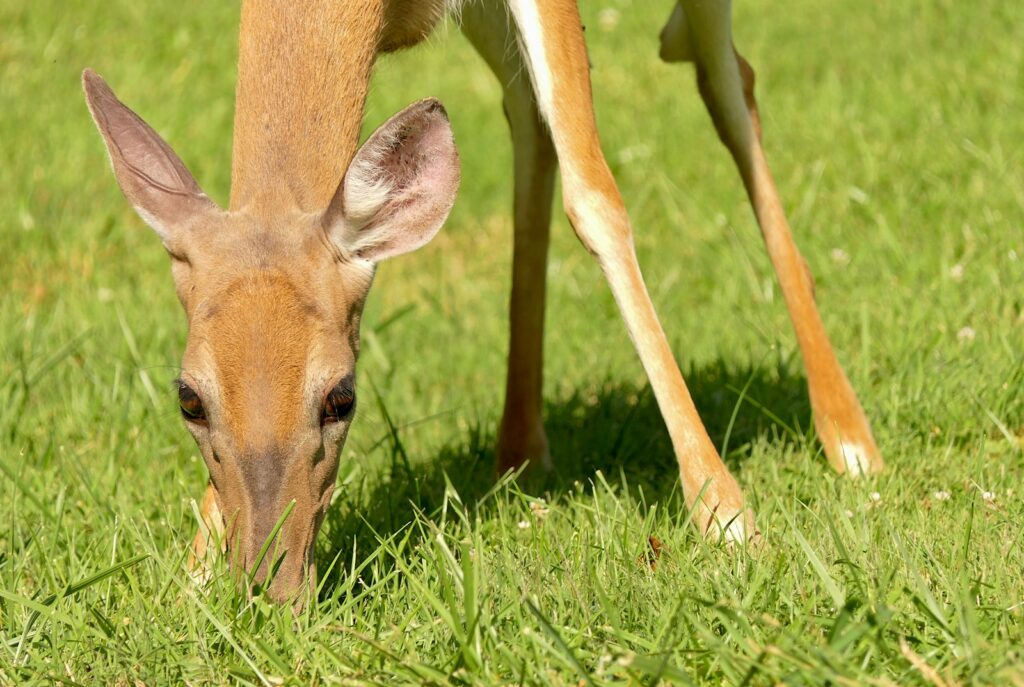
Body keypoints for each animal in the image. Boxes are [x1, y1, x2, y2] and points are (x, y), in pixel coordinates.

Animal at [82, 0, 884, 604]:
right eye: (189, 398)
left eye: (342, 396)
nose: (269, 591)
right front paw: (194, 565)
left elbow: (597, 196)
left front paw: (727, 517)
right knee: (530, 111)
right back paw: (520, 448)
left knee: (726, 77)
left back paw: (850, 440)